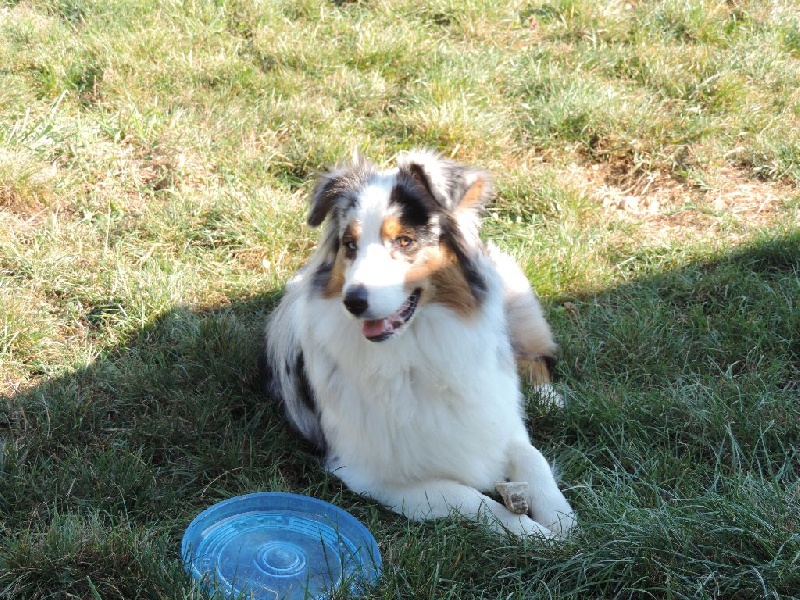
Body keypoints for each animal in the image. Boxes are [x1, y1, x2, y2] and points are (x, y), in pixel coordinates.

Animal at [262, 151, 576, 540]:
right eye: (350, 246)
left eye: (405, 241)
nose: (353, 301)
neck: (415, 347)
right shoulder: (372, 474)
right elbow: (469, 496)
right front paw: (535, 533)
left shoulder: (500, 416)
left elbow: (534, 457)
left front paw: (561, 518)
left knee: (536, 355)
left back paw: (549, 399)